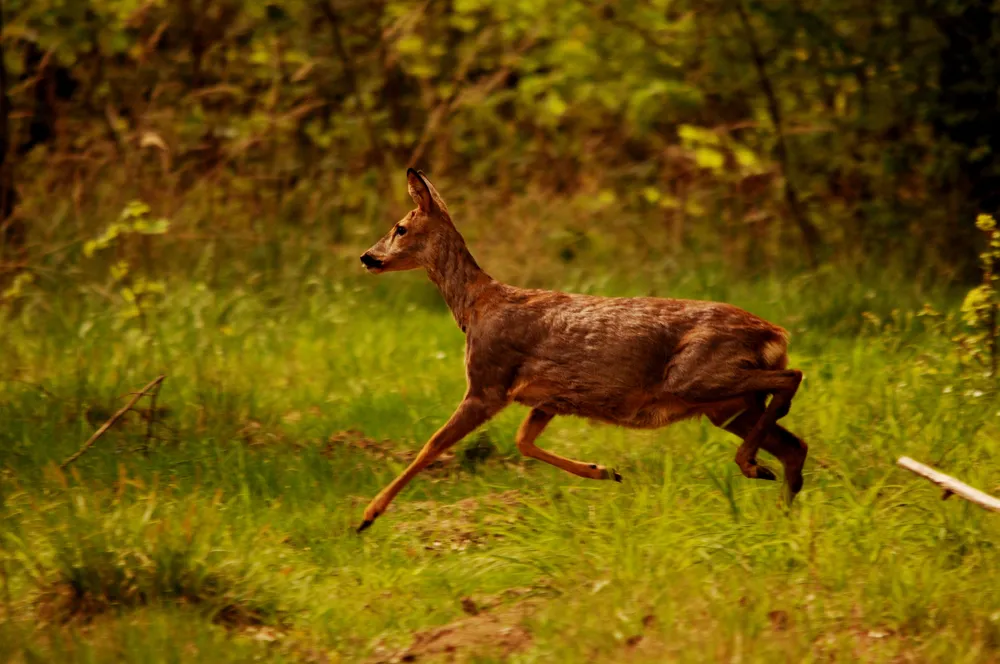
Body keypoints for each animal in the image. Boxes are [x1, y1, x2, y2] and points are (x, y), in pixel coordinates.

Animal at [356, 168, 807, 532]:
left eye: (399, 227)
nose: (366, 257)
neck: (476, 307)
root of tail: (775, 333)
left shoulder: (489, 382)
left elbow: (432, 445)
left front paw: (368, 515)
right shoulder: (547, 398)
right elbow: (523, 441)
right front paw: (604, 471)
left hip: (697, 377)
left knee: (792, 377)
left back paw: (751, 465)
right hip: (726, 407)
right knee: (794, 444)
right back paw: (780, 510)